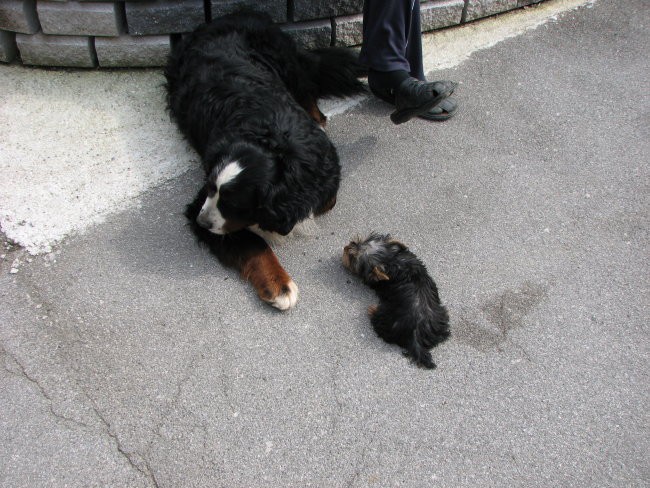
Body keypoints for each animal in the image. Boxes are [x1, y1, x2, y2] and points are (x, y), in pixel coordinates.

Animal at [162, 11, 364, 310]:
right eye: (210, 189)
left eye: (234, 204)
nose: (203, 223)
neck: (275, 142)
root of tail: (232, 15)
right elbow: (254, 243)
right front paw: (279, 285)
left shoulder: (326, 177)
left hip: (288, 64)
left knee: (305, 87)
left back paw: (317, 116)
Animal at [342, 234, 448, 368]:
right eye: (355, 242)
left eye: (352, 258)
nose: (346, 247)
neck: (392, 260)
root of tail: (414, 334)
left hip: (385, 318)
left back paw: (372, 309)